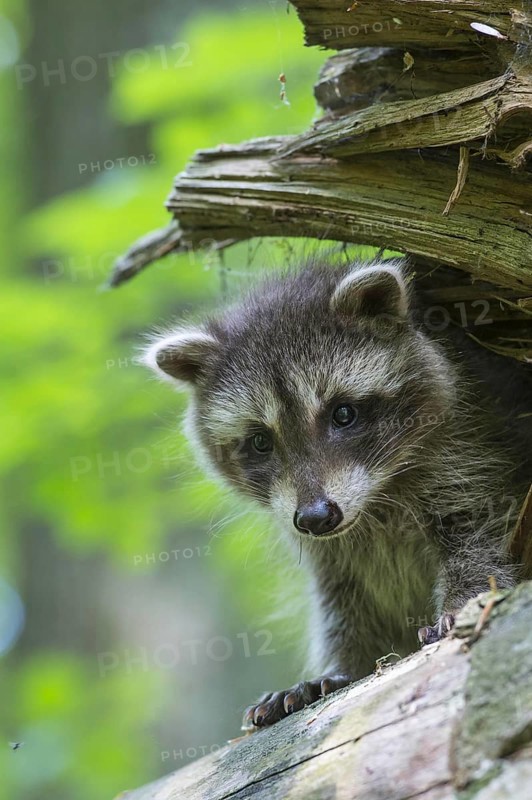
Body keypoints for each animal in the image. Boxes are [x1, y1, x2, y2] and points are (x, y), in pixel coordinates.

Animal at [142, 258, 530, 729]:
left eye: (342, 413)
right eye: (260, 441)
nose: (315, 518)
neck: (377, 498)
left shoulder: (475, 448)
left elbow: (478, 535)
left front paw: (466, 600)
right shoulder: (326, 544)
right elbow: (346, 601)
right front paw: (346, 667)